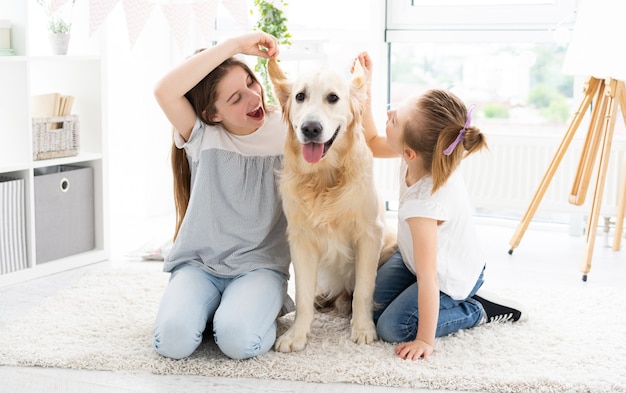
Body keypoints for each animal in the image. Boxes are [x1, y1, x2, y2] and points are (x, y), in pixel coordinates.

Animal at [266, 56, 394, 350]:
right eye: (300, 96)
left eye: (333, 98)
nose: (311, 128)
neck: (323, 178)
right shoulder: (301, 239)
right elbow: (302, 295)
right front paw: (297, 334)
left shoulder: (370, 234)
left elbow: (363, 290)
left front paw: (363, 328)